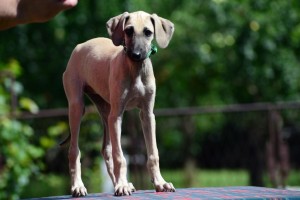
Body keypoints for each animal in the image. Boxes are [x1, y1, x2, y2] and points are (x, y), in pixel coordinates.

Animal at [62, 11, 176, 197]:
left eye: (148, 32)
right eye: (128, 31)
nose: (136, 55)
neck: (135, 71)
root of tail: (80, 46)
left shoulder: (147, 114)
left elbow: (153, 153)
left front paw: (160, 183)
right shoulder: (117, 116)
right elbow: (120, 156)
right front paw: (122, 185)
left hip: (105, 110)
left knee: (106, 150)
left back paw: (119, 183)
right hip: (77, 107)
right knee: (74, 150)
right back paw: (78, 186)